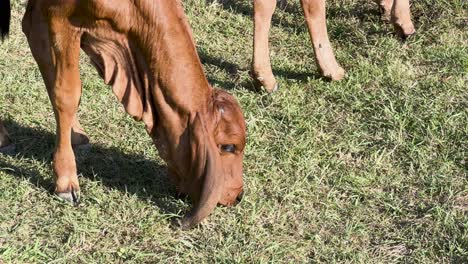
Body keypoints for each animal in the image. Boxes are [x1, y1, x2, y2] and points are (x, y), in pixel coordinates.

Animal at [4, 0, 249, 228]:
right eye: (229, 146)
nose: (238, 195)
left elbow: (45, 60)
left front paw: (76, 135)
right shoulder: (58, 15)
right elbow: (67, 94)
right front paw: (66, 179)